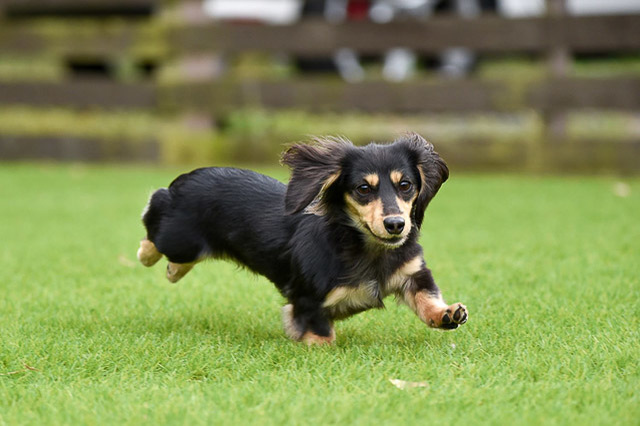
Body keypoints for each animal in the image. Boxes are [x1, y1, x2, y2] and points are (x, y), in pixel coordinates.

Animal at [138, 135, 468, 344]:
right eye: (363, 188)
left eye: (406, 185)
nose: (396, 225)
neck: (367, 249)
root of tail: (187, 177)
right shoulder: (308, 301)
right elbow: (321, 333)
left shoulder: (412, 273)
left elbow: (426, 296)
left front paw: (446, 314)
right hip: (179, 238)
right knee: (154, 214)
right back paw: (146, 252)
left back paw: (173, 270)